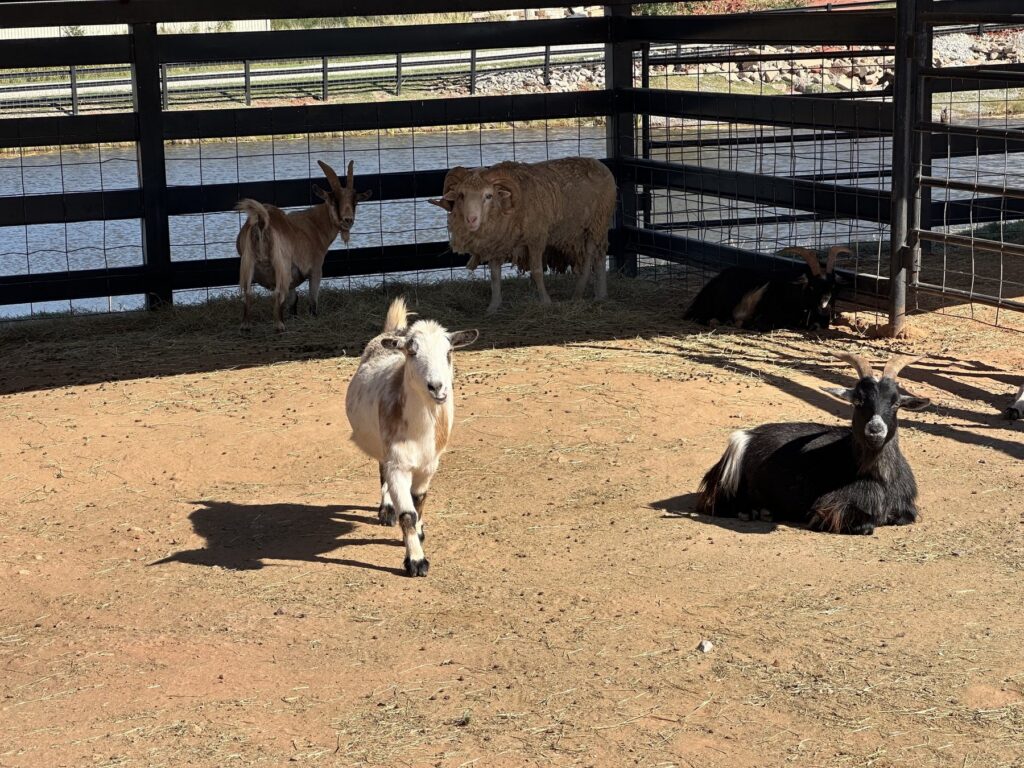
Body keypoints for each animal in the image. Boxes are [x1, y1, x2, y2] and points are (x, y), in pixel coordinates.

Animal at [236, 160, 371, 332]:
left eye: (355, 201)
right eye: (334, 200)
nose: (348, 220)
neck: (314, 225)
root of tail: (261, 222)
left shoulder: (292, 276)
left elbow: (293, 300)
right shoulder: (315, 268)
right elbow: (312, 301)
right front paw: (313, 318)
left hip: (248, 263)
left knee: (247, 294)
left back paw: (246, 325)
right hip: (281, 264)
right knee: (278, 294)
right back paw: (280, 326)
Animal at [345, 297, 479, 576]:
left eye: (449, 352)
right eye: (412, 352)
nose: (437, 387)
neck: (420, 431)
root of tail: (394, 331)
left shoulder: (429, 465)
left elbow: (419, 503)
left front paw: (419, 533)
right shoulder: (398, 463)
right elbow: (407, 514)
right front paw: (416, 562)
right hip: (381, 448)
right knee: (382, 473)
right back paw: (386, 510)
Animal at [428, 158, 616, 313]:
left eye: (488, 196)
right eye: (461, 195)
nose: (471, 219)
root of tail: (599, 164)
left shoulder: (537, 239)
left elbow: (537, 271)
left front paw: (545, 301)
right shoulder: (496, 244)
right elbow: (494, 276)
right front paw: (493, 306)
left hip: (597, 224)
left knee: (593, 256)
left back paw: (587, 293)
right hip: (581, 231)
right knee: (596, 256)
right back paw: (595, 294)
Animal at [695, 353, 931, 535]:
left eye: (896, 403)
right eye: (858, 400)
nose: (875, 429)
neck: (879, 476)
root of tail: (746, 436)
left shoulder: (905, 508)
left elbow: (902, 518)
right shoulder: (829, 509)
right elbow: (866, 526)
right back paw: (756, 511)